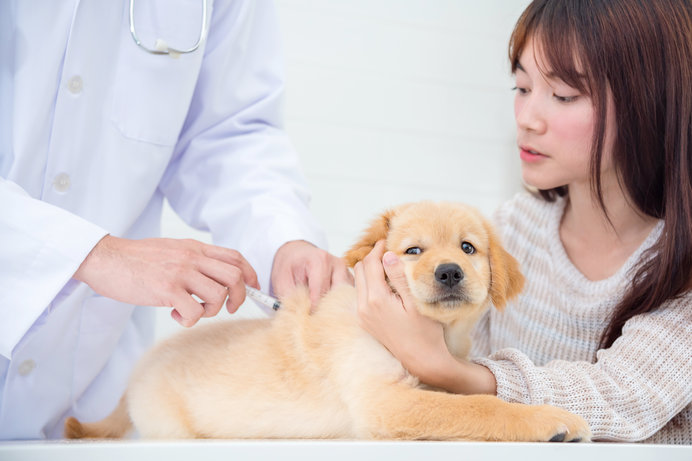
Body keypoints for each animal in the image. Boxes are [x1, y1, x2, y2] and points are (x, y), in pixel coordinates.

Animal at [66, 203, 588, 440]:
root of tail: (136, 372)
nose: (449, 272)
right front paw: (550, 419)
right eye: (412, 251)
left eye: (467, 248)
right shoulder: (385, 401)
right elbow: (480, 408)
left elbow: (467, 399)